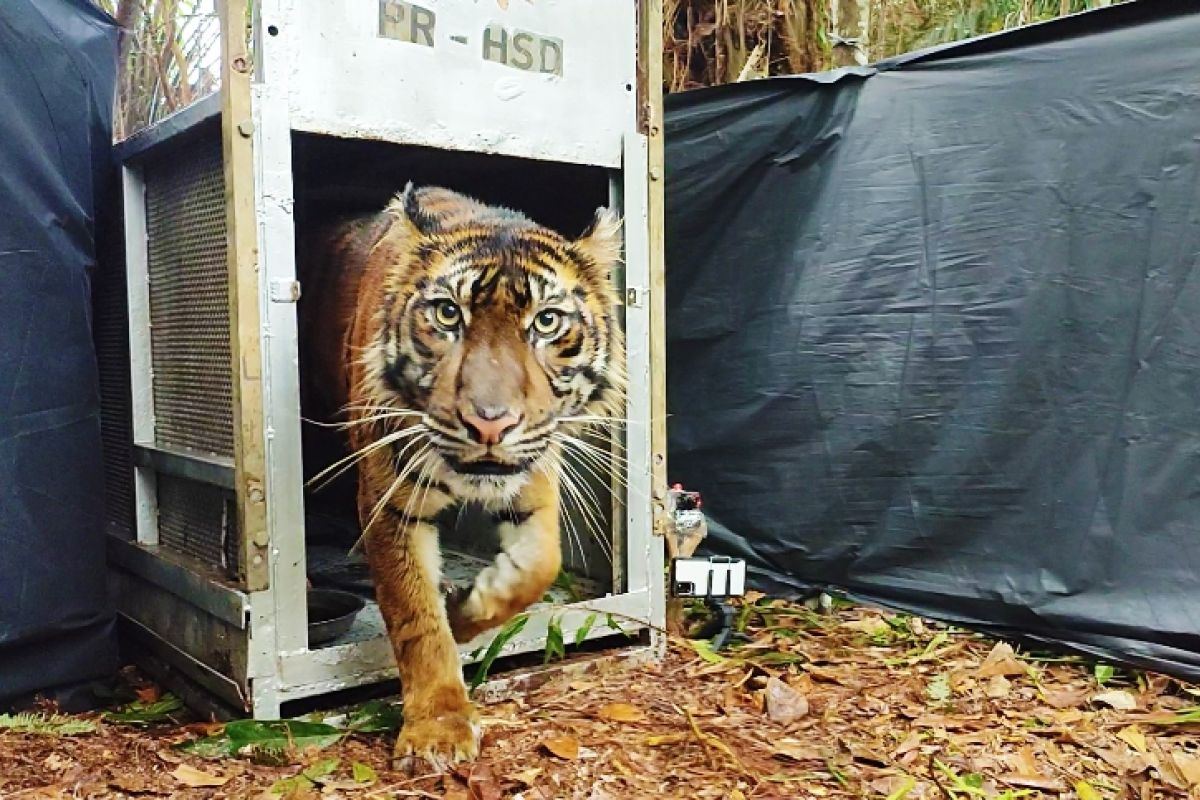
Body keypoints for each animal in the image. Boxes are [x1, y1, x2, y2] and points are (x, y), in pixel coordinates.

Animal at [295, 185, 624, 767]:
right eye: (449, 315)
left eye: (546, 322)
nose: (489, 423)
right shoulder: (390, 498)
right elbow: (416, 617)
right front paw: (438, 729)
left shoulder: (535, 474)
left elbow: (539, 566)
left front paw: (467, 609)